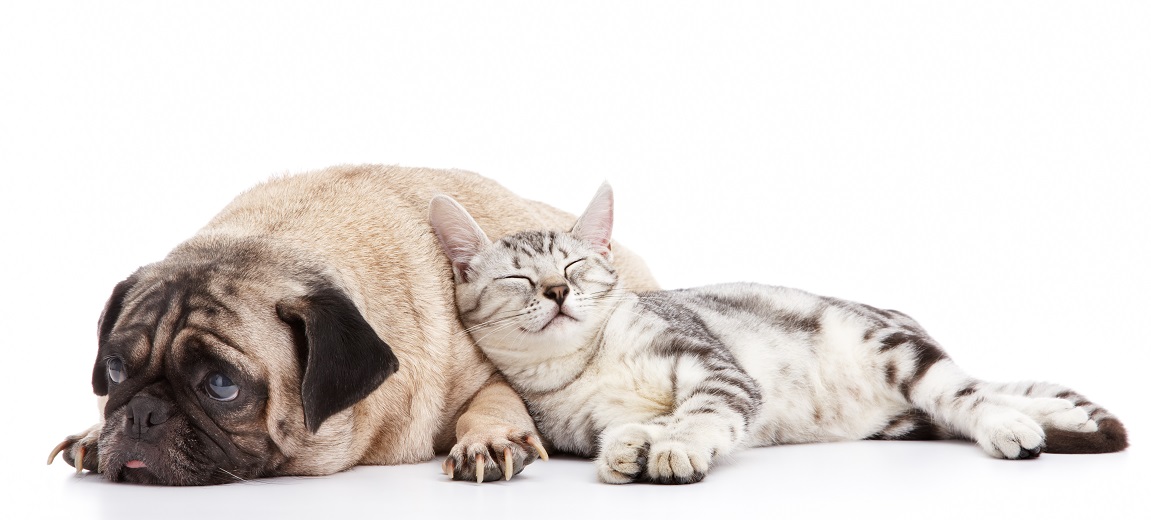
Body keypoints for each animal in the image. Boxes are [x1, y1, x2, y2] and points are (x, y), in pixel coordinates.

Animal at [47, 165, 658, 483]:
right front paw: (96, 432)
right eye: (115, 369)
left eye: (221, 386)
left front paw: (486, 439)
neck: (279, 240)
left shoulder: (492, 373)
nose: (141, 414)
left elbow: (495, 400)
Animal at [428, 185, 1127, 485]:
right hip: (900, 417)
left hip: (892, 348)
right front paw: (634, 446)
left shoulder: (712, 364)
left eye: (574, 266)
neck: (586, 364)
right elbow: (636, 426)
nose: (556, 291)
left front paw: (677, 446)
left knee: (967, 391)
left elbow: (705, 410)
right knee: (956, 402)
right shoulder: (585, 419)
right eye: (519, 278)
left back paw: (1020, 422)